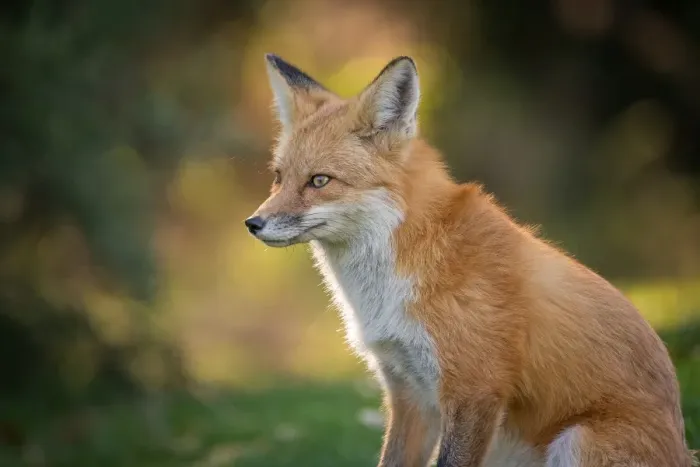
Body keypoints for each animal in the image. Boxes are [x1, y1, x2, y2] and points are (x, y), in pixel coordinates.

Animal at [245, 53, 695, 467]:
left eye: (319, 181)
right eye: (279, 177)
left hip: (578, 440)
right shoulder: (409, 394)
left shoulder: (475, 390)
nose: (253, 223)